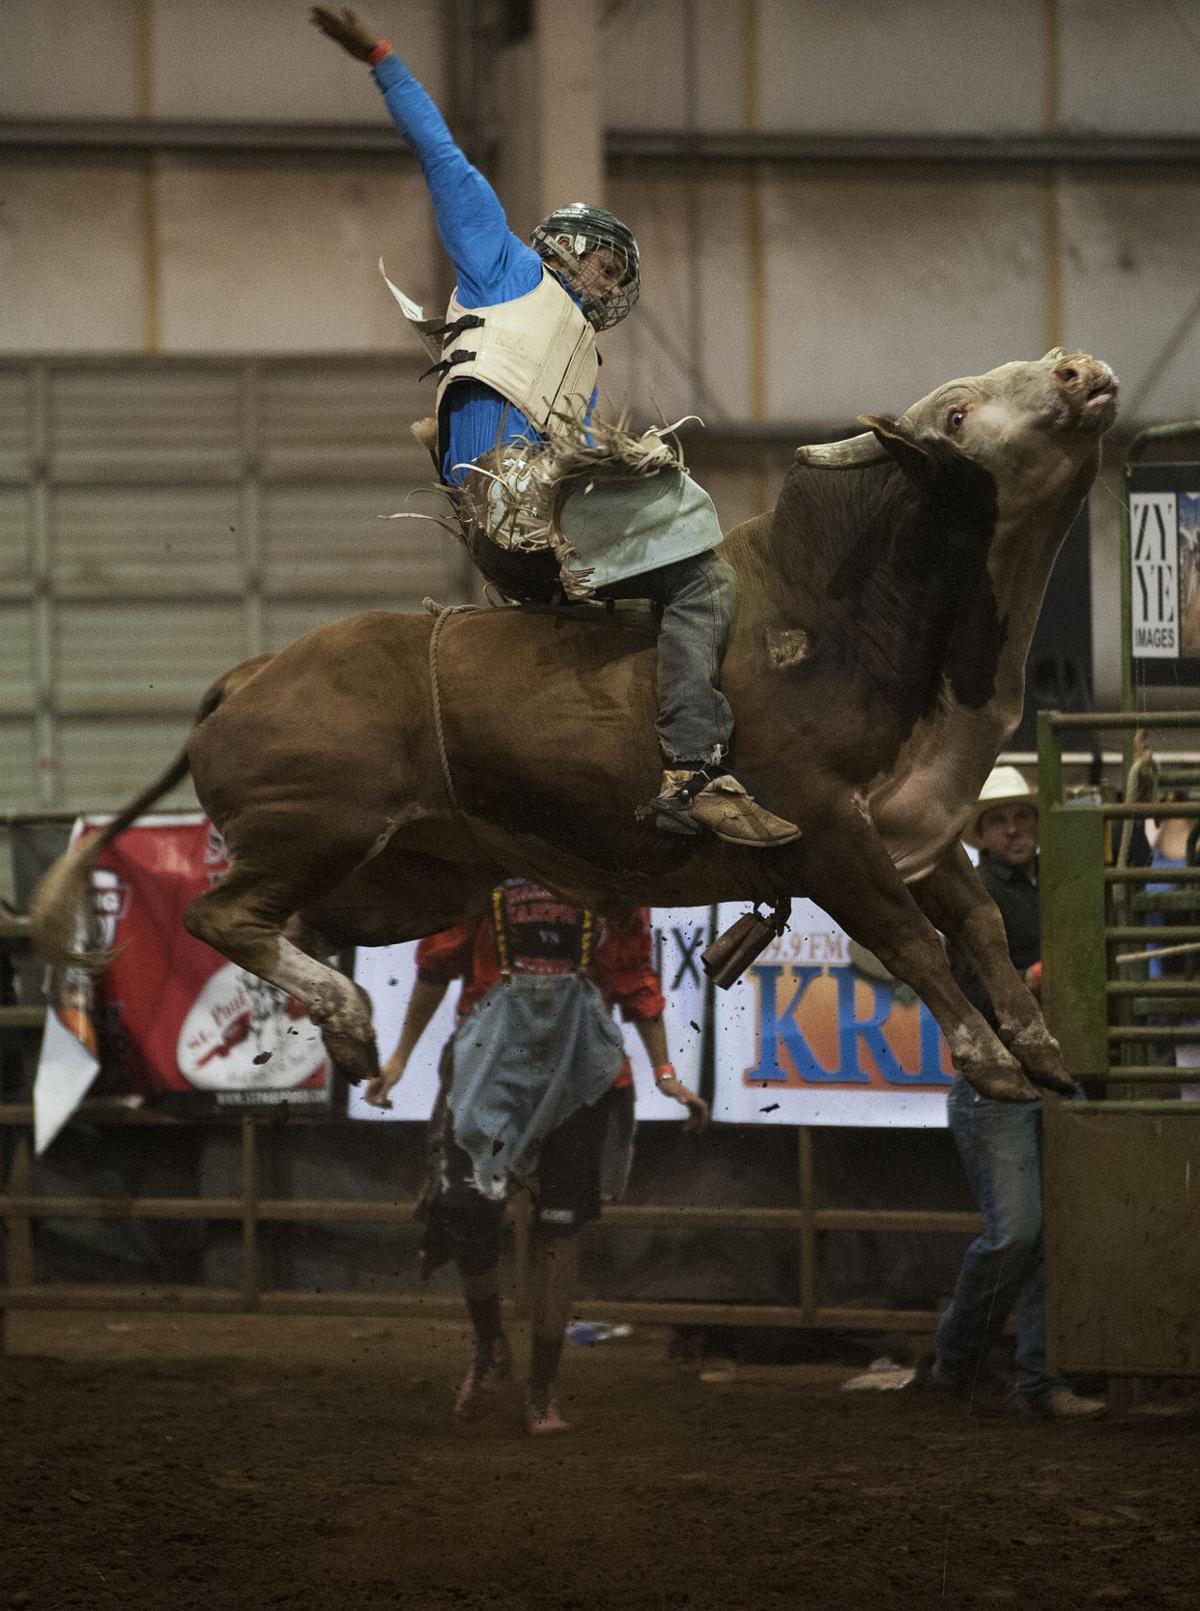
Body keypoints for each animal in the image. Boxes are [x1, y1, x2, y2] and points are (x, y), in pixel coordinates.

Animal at [31, 348, 1117, 1104]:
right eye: (961, 412)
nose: (1079, 369)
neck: (842, 622)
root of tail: (252, 674)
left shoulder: (915, 830)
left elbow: (978, 924)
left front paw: (1042, 1050)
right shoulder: (829, 839)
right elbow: (914, 945)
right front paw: (990, 1064)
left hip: (398, 878)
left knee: (288, 927)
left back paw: (343, 1030)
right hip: (316, 826)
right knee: (223, 917)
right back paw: (343, 1014)